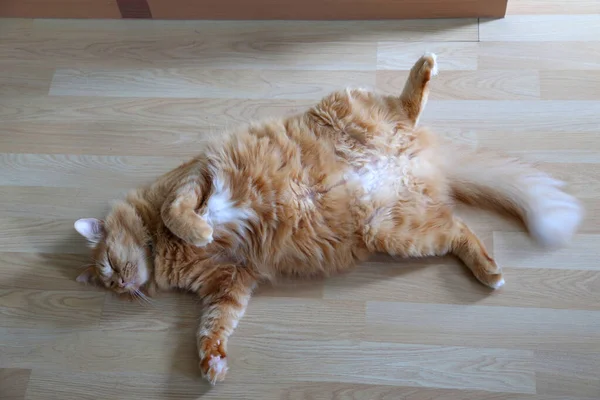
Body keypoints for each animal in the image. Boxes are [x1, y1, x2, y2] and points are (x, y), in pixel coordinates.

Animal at [74, 54, 580, 386]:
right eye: (111, 284)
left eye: (111, 268)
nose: (124, 287)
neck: (163, 251)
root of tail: (416, 161)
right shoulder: (230, 281)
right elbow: (213, 327)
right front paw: (210, 364)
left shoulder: (195, 177)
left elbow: (178, 211)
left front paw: (198, 228)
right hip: (395, 232)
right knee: (458, 229)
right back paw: (489, 271)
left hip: (346, 110)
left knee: (408, 105)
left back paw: (424, 65)